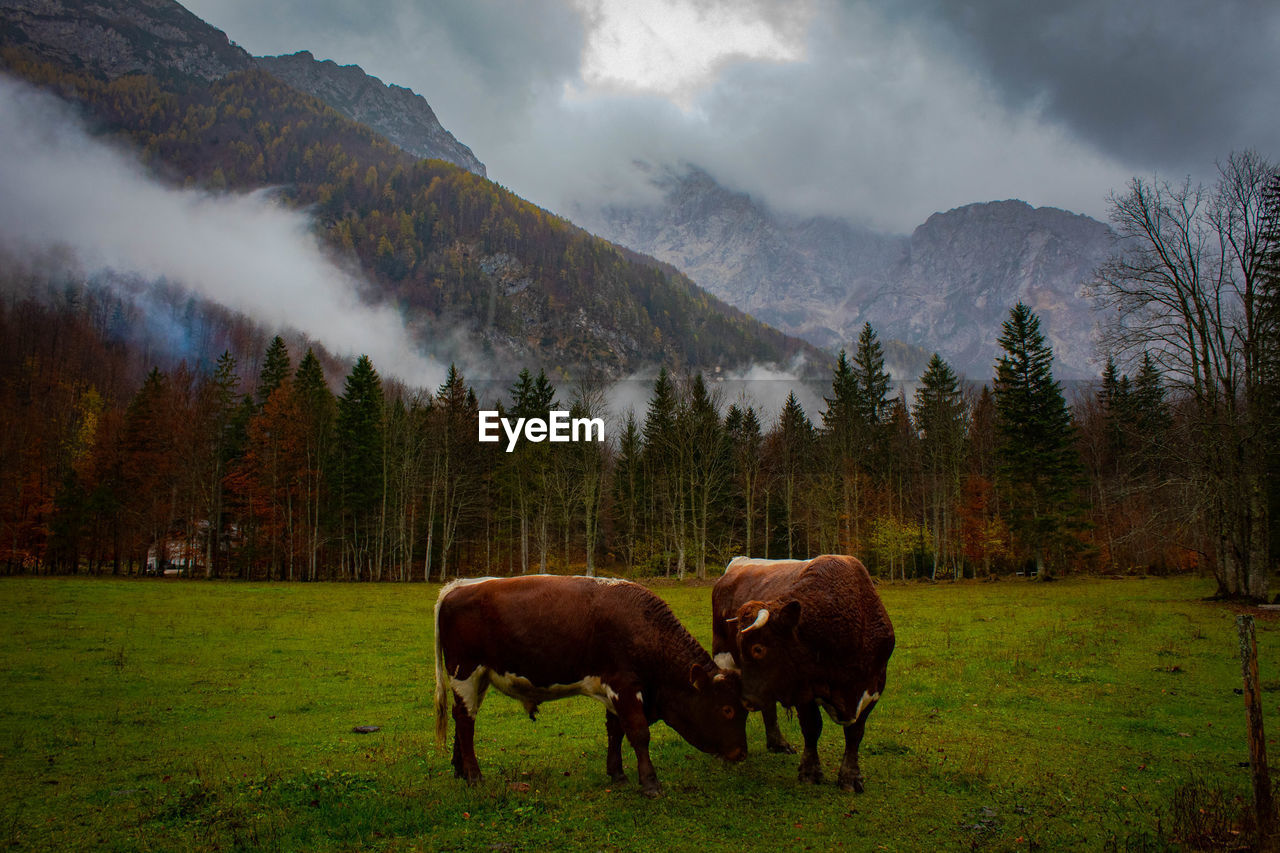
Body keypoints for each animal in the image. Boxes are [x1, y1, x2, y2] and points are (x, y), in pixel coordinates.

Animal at [432, 571, 747, 799]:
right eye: (727, 710)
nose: (741, 754)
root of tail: (457, 586)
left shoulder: (614, 690)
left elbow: (616, 731)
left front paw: (617, 774)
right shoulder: (624, 685)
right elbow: (638, 733)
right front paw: (650, 783)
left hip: (479, 678)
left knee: (462, 717)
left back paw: (460, 770)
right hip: (465, 672)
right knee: (466, 721)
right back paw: (475, 776)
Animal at [711, 555, 901, 788]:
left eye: (758, 649)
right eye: (741, 646)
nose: (746, 700)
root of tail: (739, 562)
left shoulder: (875, 684)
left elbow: (855, 732)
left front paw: (850, 776)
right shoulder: (802, 687)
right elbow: (812, 727)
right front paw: (810, 771)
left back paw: (778, 742)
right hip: (723, 657)